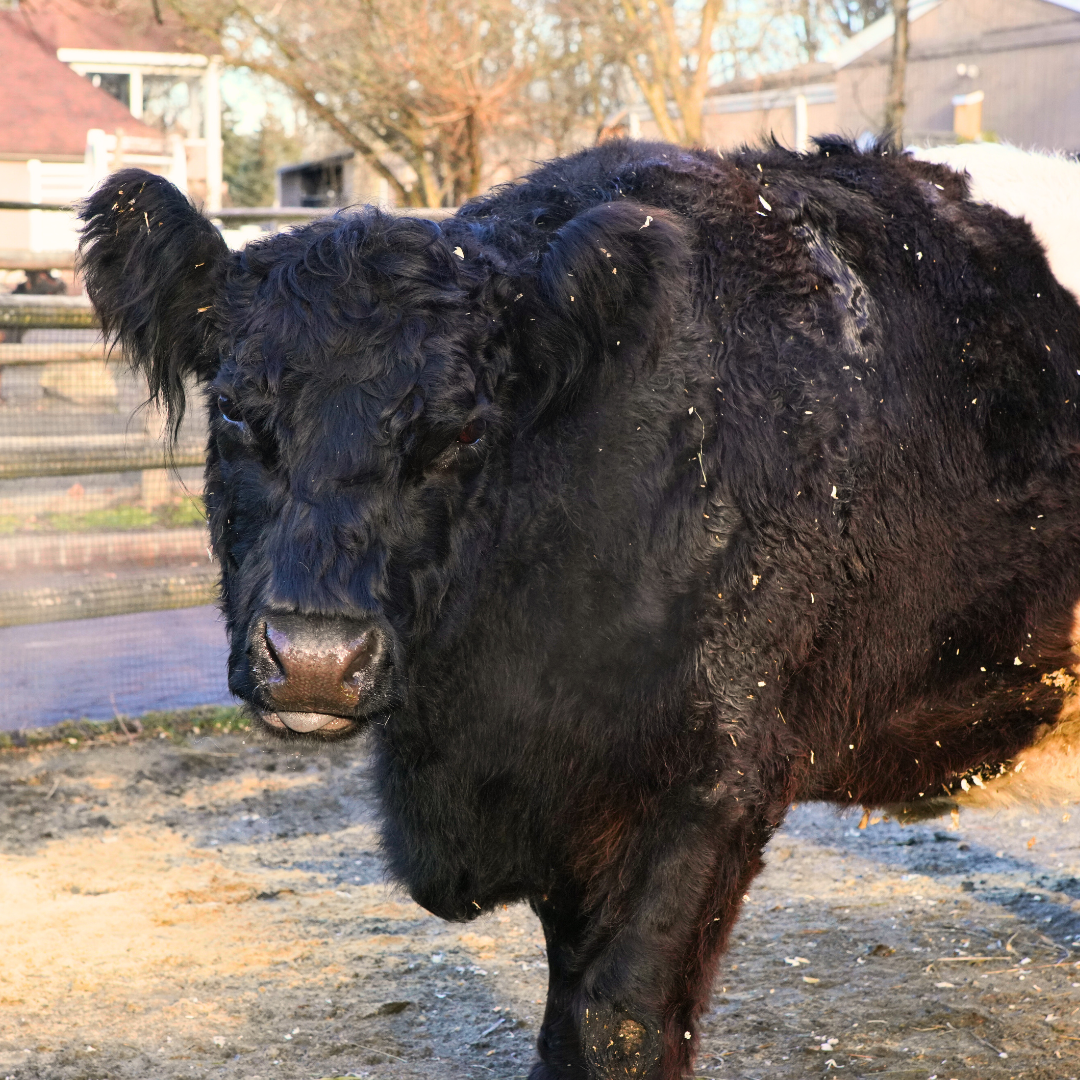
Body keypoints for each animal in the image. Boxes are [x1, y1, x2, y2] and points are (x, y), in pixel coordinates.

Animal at [76, 139, 1080, 1075]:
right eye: (235, 413)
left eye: (462, 433)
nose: (316, 659)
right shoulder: (566, 808)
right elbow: (565, 1014)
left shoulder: (720, 775)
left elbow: (618, 1023)